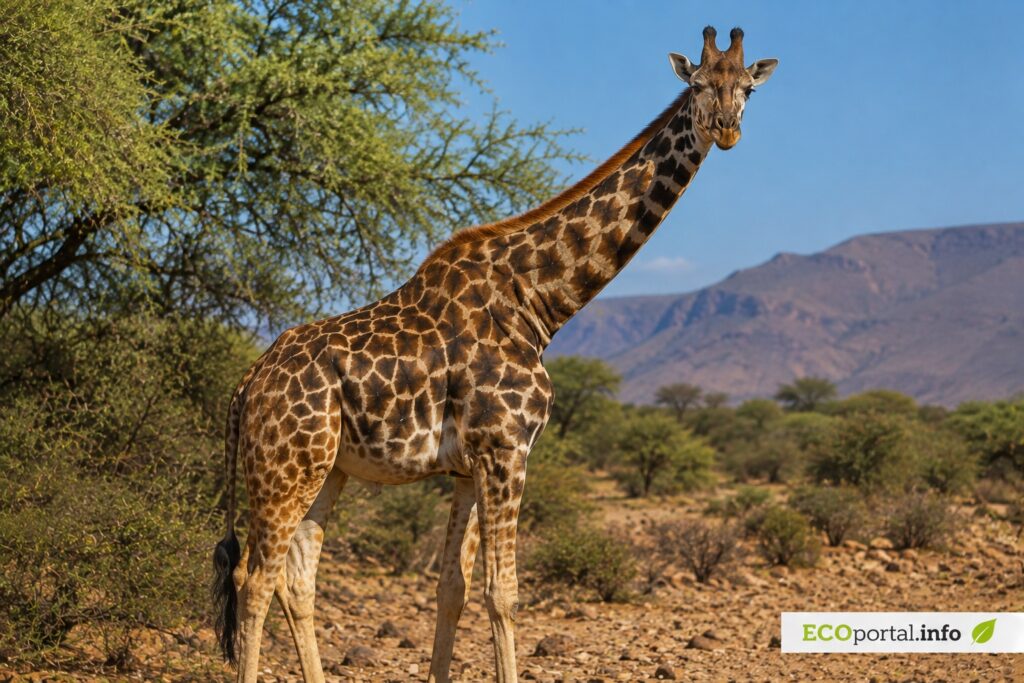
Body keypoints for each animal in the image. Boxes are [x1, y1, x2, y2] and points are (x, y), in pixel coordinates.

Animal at [211, 25, 777, 683]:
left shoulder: (466, 466)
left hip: (325, 469)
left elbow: (451, 588)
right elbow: (502, 593)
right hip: (285, 466)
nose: (727, 129)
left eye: (747, 89)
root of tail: (247, 383)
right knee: (255, 578)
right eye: (699, 83)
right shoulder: (507, 448)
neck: (539, 303)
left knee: (297, 576)